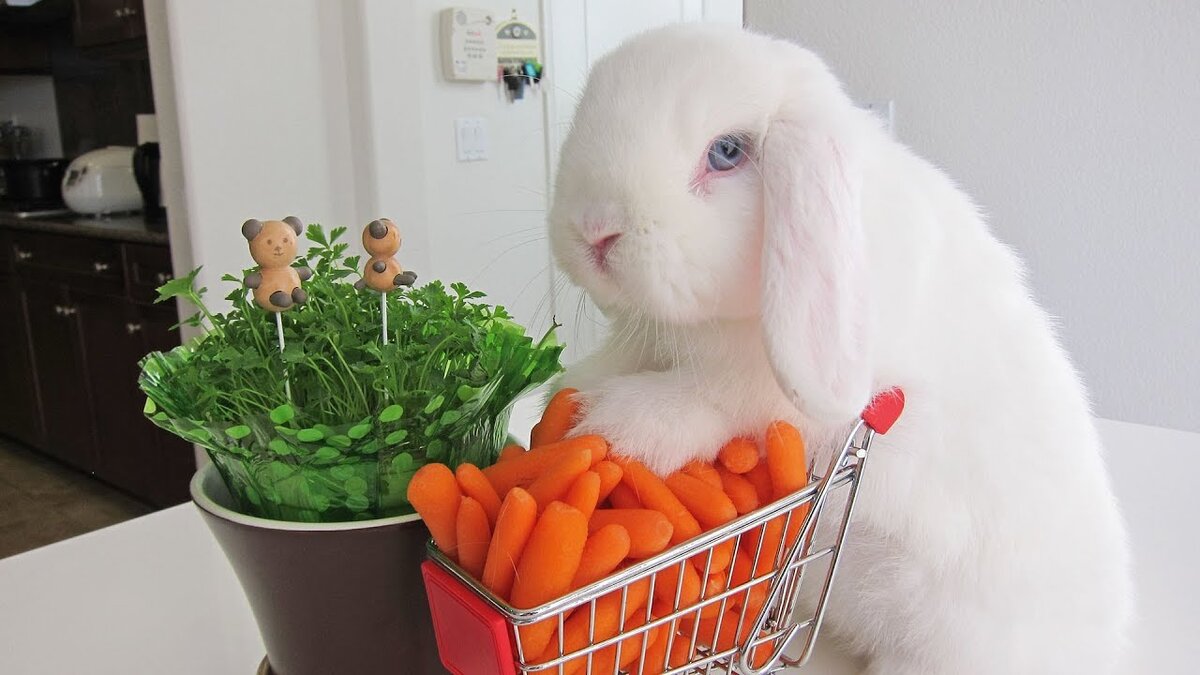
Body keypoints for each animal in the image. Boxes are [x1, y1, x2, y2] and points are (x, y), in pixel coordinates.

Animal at [548, 24, 1131, 675]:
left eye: (727, 151)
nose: (593, 229)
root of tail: (1098, 645)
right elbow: (613, 363)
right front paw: (565, 393)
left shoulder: (765, 392)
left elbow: (712, 401)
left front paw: (613, 425)